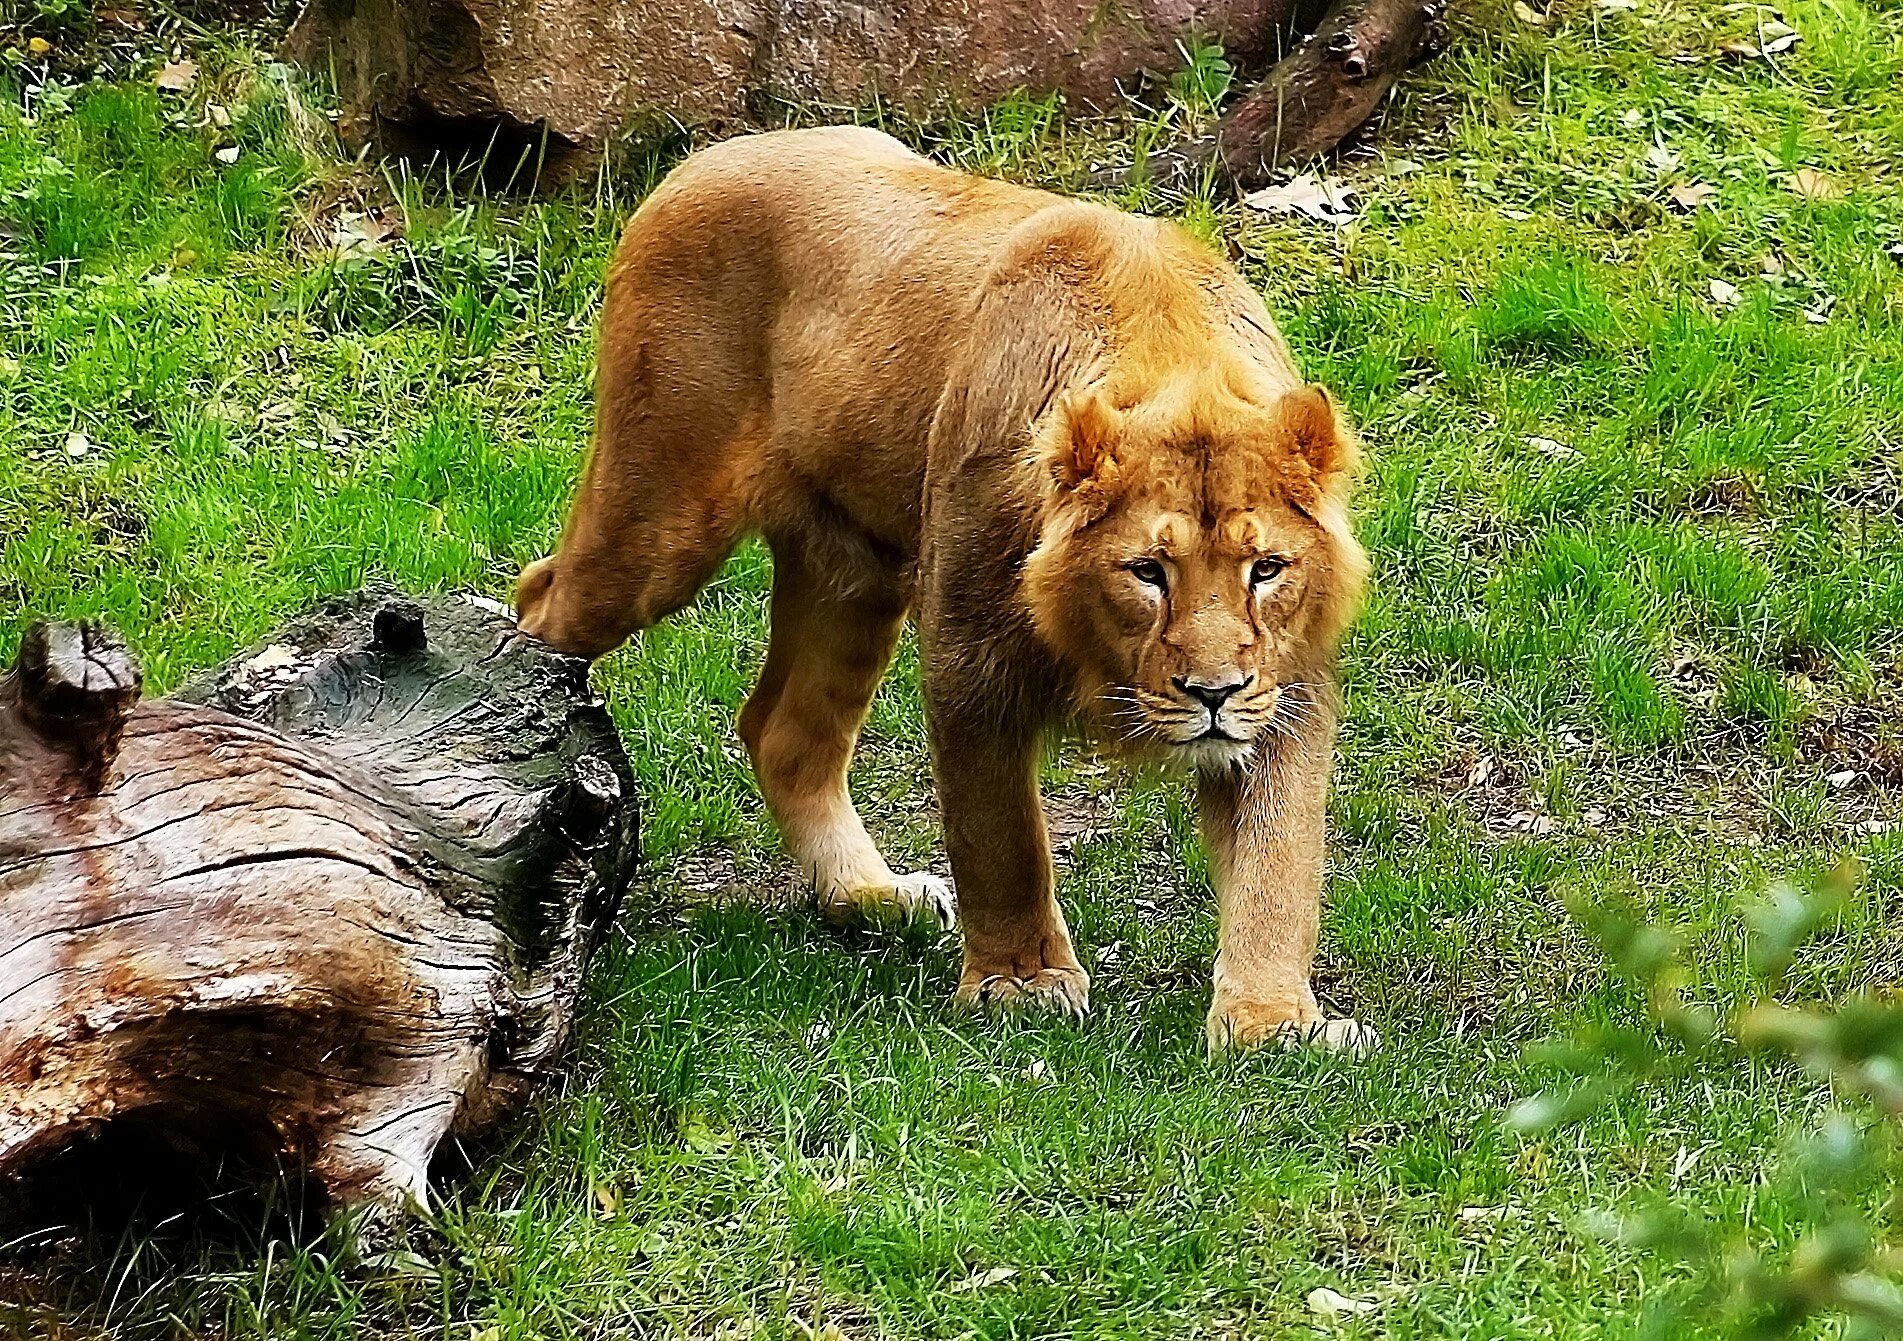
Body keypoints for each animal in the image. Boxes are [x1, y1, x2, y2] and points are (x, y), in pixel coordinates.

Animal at [521, 125, 1377, 1049]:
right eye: (1147, 572)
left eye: (1266, 569)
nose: (1212, 694)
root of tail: (703, 156)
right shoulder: (972, 648)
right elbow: (1000, 833)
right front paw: (1020, 982)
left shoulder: (1284, 682)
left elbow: (1277, 859)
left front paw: (1272, 1022)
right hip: (657, 522)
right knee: (539, 601)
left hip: (852, 571)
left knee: (785, 731)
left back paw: (869, 897)